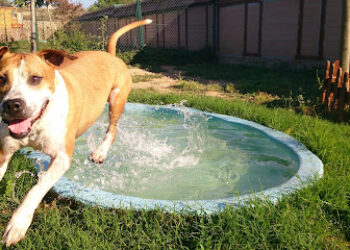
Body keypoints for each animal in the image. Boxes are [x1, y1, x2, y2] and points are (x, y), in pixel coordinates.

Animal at [0, 19, 152, 246]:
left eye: (35, 78)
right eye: (1, 79)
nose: (12, 104)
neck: (38, 122)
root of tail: (110, 55)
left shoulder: (62, 158)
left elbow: (37, 188)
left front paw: (18, 223)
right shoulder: (4, 152)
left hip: (117, 101)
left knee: (112, 130)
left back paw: (100, 152)